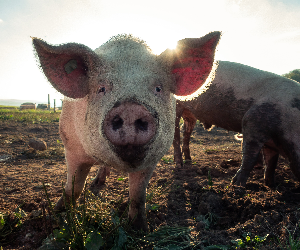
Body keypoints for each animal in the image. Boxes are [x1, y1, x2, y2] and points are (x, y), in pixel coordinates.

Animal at [32, 31, 220, 230]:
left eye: (158, 88)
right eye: (101, 88)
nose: (131, 109)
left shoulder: (152, 159)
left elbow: (138, 196)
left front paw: (140, 229)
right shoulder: (70, 146)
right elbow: (73, 187)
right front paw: (58, 214)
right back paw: (96, 184)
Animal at [172, 60, 300, 188]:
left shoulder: (270, 141)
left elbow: (271, 162)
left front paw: (271, 185)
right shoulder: (251, 122)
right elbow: (250, 157)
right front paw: (237, 185)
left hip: (190, 114)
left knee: (186, 132)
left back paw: (189, 160)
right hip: (176, 106)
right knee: (176, 134)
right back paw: (179, 165)